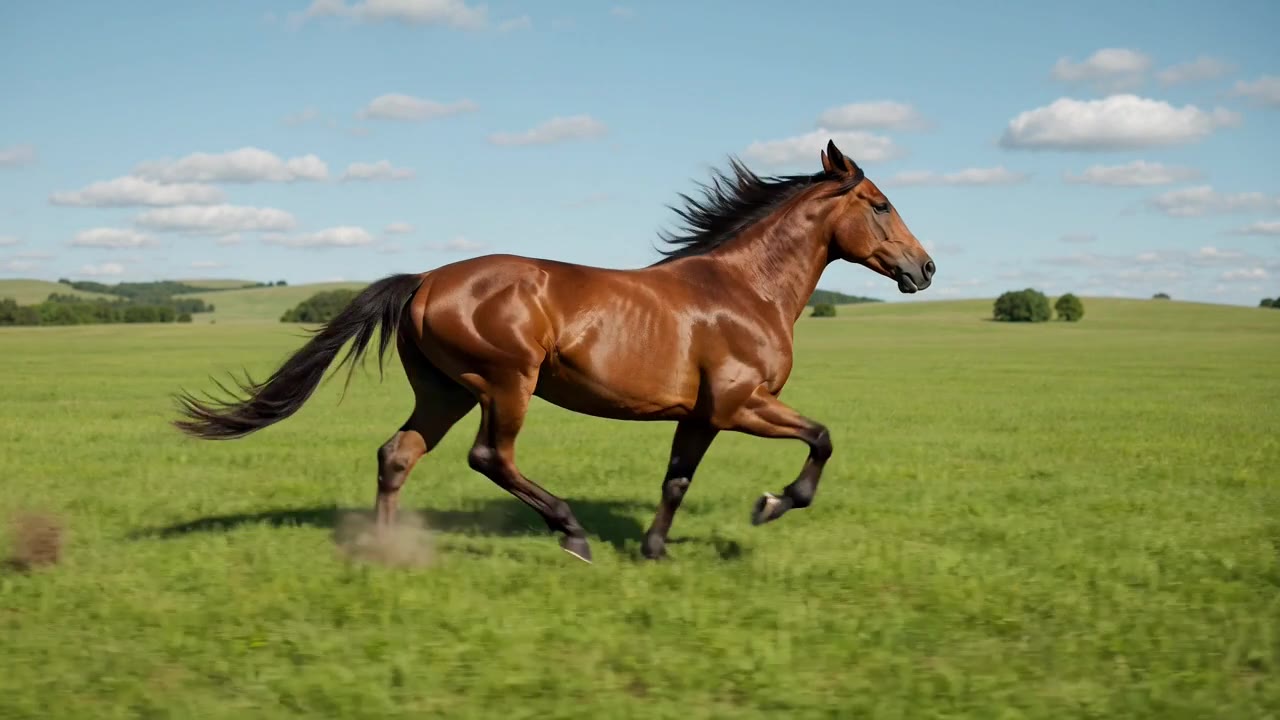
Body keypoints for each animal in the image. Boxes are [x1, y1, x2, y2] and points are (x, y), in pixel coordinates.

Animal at [172, 140, 935, 563]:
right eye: (879, 203)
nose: (925, 269)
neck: (745, 290)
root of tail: (424, 280)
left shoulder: (700, 414)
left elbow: (676, 480)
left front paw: (654, 551)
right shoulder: (742, 403)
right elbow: (823, 438)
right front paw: (771, 504)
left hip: (446, 391)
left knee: (397, 454)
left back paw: (388, 552)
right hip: (505, 382)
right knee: (490, 457)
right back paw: (571, 533)